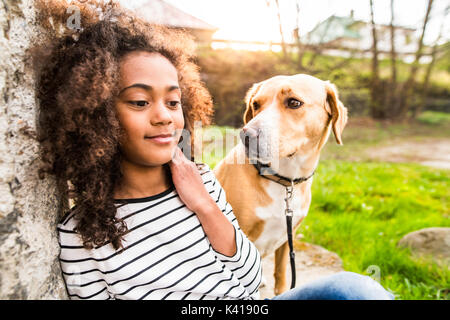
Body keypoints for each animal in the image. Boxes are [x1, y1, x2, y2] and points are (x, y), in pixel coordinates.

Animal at [214, 74, 348, 296]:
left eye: (294, 102)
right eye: (256, 104)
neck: (283, 180)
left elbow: (281, 274)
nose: (247, 135)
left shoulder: (288, 236)